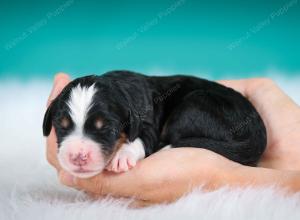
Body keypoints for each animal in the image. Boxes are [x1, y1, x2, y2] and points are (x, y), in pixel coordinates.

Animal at [42, 71, 268, 178]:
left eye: (108, 129)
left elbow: (141, 139)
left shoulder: (149, 124)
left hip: (191, 107)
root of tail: (255, 136)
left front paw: (122, 156)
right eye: (61, 126)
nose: (78, 157)